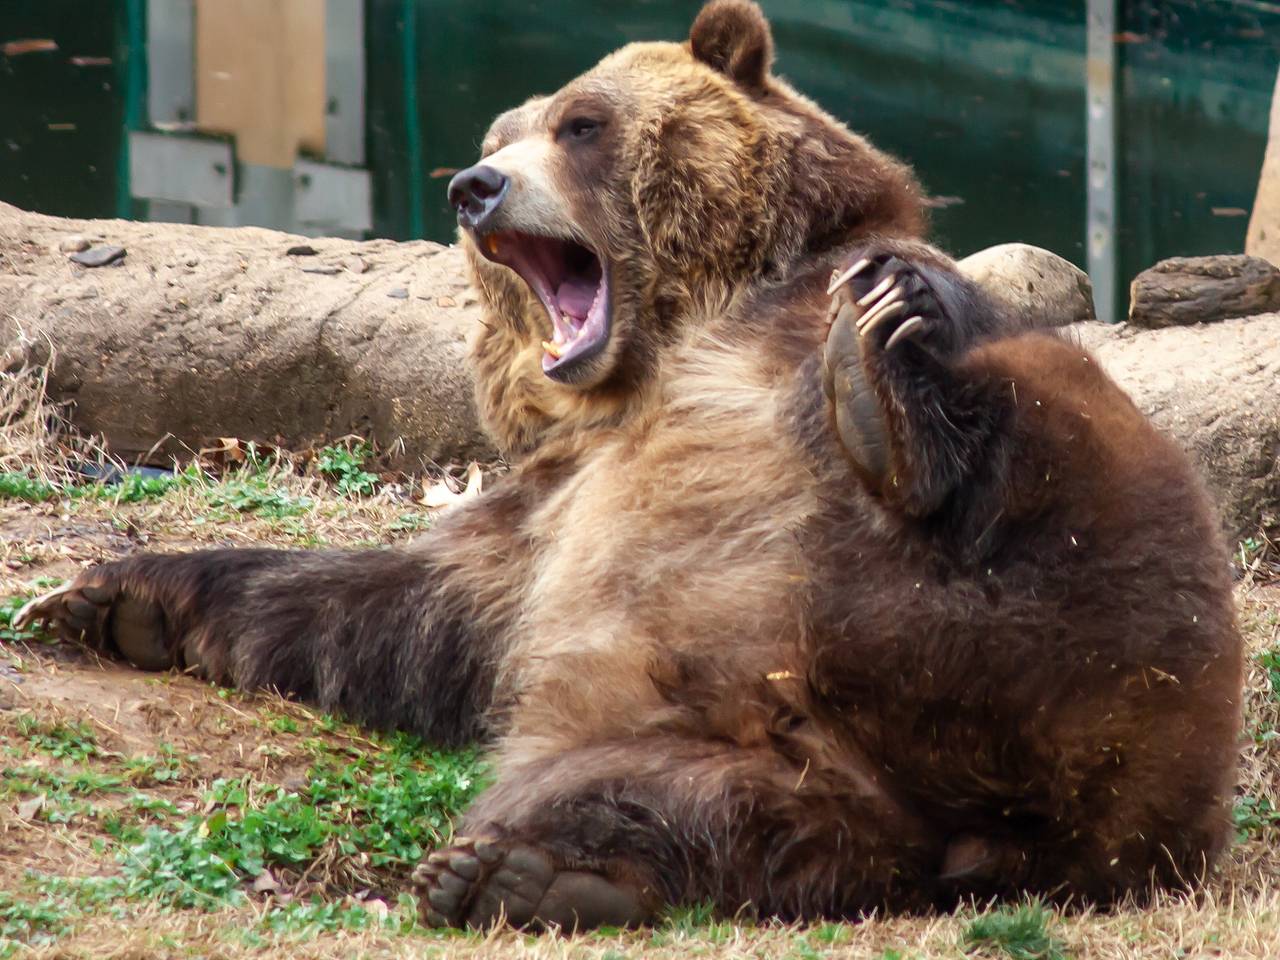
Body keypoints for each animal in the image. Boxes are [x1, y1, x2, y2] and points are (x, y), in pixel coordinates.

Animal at [18, 0, 1241, 932]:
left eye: (581, 121)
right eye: (500, 129)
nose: (473, 186)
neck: (671, 345)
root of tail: (990, 836)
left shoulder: (789, 331)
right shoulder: (555, 505)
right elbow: (401, 604)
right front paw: (112, 596)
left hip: (1123, 631)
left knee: (1058, 463)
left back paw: (887, 411)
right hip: (743, 739)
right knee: (702, 811)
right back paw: (532, 873)